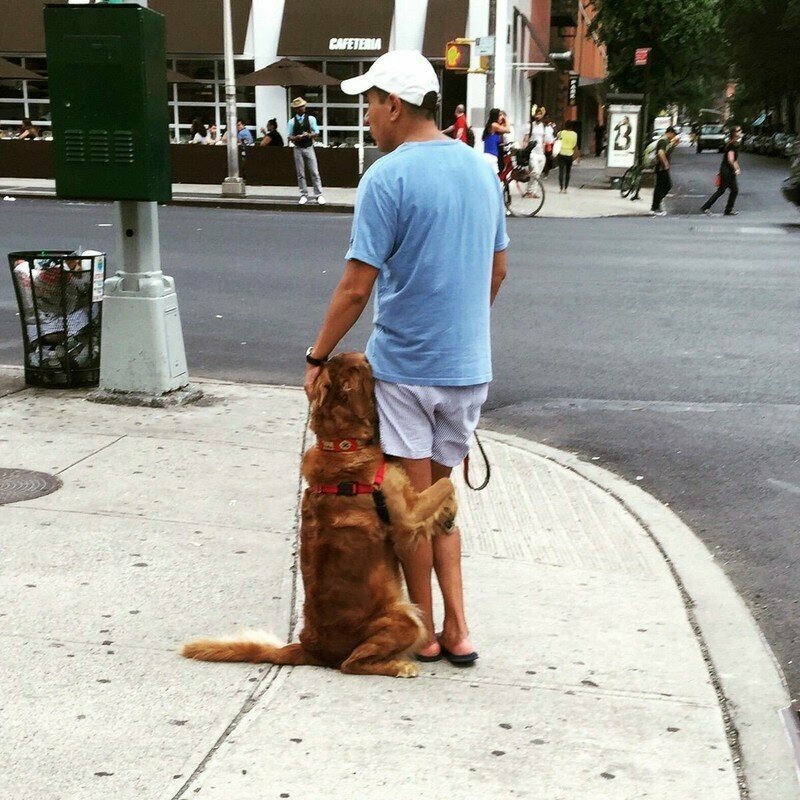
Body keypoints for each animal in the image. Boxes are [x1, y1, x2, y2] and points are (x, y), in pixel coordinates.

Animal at [182, 354, 456, 680]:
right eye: (359, 366)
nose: (369, 357)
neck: (340, 445)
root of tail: (311, 649)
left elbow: (446, 487)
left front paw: (448, 514)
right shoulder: (407, 516)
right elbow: (447, 483)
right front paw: (450, 510)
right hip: (405, 618)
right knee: (352, 663)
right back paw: (400, 665)